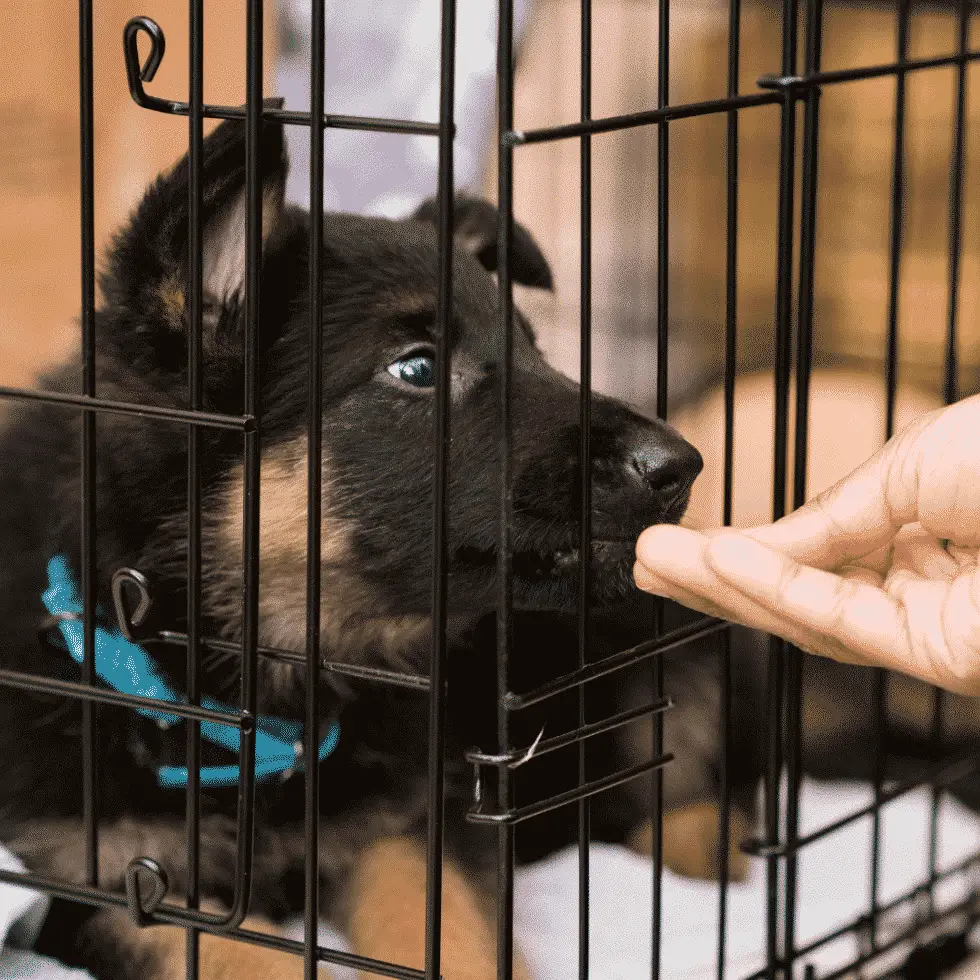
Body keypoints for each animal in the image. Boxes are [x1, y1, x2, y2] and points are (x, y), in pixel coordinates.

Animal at [0, 107, 756, 980]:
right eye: (417, 369)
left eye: (536, 352)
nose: (681, 466)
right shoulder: (95, 881)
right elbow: (237, 956)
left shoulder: (411, 825)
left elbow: (450, 932)